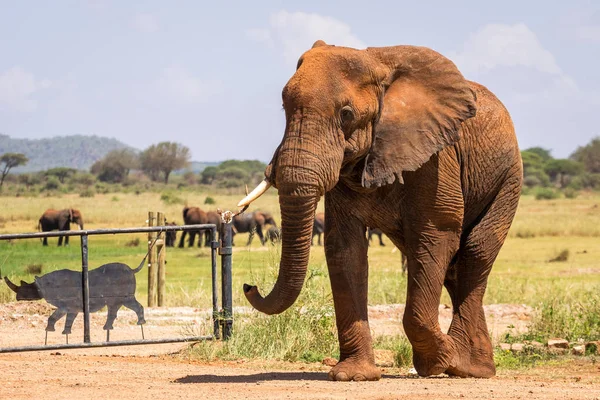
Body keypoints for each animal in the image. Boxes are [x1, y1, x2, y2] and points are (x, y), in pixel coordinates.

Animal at [237, 40, 524, 382]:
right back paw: (473, 364)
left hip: (508, 177)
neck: (375, 61)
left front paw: (441, 359)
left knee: (475, 252)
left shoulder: (436, 157)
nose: (249, 285)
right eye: (284, 108)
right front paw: (353, 375)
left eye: (346, 114)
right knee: (451, 267)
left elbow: (435, 235)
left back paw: (467, 366)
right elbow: (345, 248)